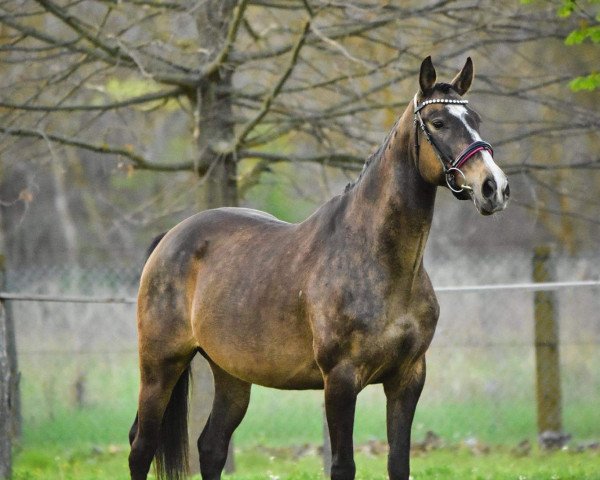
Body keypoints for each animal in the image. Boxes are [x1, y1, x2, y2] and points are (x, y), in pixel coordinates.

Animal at [129, 57, 508, 480]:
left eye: (475, 119)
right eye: (439, 122)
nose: (493, 187)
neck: (382, 264)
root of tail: (169, 240)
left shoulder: (408, 377)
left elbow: (399, 463)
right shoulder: (340, 381)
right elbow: (343, 466)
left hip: (231, 375)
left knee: (211, 447)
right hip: (159, 366)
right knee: (141, 448)